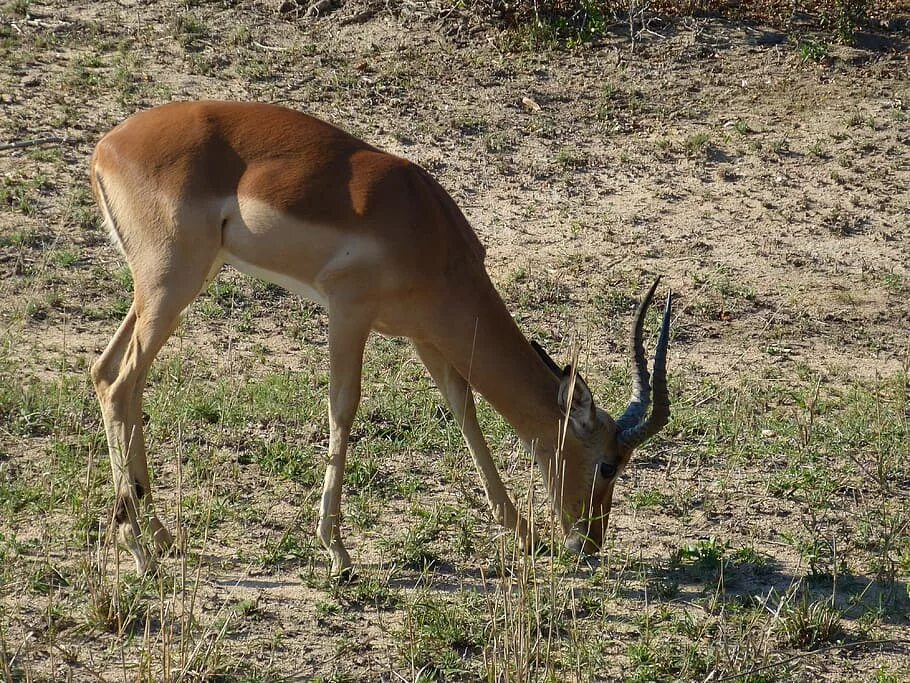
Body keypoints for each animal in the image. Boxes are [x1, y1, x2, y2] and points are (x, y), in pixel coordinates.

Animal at [91, 101, 676, 576]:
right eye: (607, 462)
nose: (589, 544)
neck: (430, 235)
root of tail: (107, 146)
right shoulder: (350, 311)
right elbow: (343, 408)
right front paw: (338, 553)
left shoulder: (425, 335)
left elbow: (464, 410)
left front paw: (524, 535)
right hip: (172, 283)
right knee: (121, 383)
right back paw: (140, 551)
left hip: (170, 287)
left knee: (110, 374)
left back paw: (163, 537)